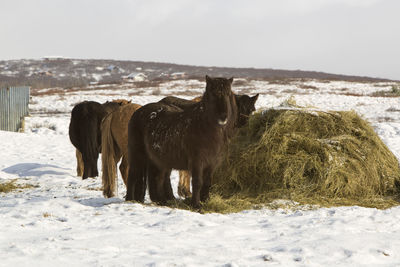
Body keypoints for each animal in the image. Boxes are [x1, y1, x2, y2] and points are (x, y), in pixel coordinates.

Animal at [126, 76, 236, 208]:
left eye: (228, 94)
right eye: (213, 94)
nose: (223, 117)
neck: (202, 126)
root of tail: (137, 112)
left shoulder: (212, 163)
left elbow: (207, 183)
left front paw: (205, 201)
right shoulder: (197, 162)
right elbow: (197, 182)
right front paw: (196, 205)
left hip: (158, 161)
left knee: (157, 179)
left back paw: (162, 201)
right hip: (137, 155)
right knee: (133, 175)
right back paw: (130, 200)